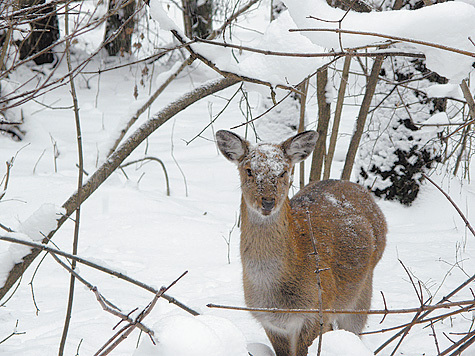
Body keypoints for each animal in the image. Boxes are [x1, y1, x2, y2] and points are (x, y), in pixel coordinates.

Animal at [216, 129, 386, 356]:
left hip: (361, 294)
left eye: (283, 172)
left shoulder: (316, 311)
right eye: (249, 170)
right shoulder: (269, 321)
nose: (268, 202)